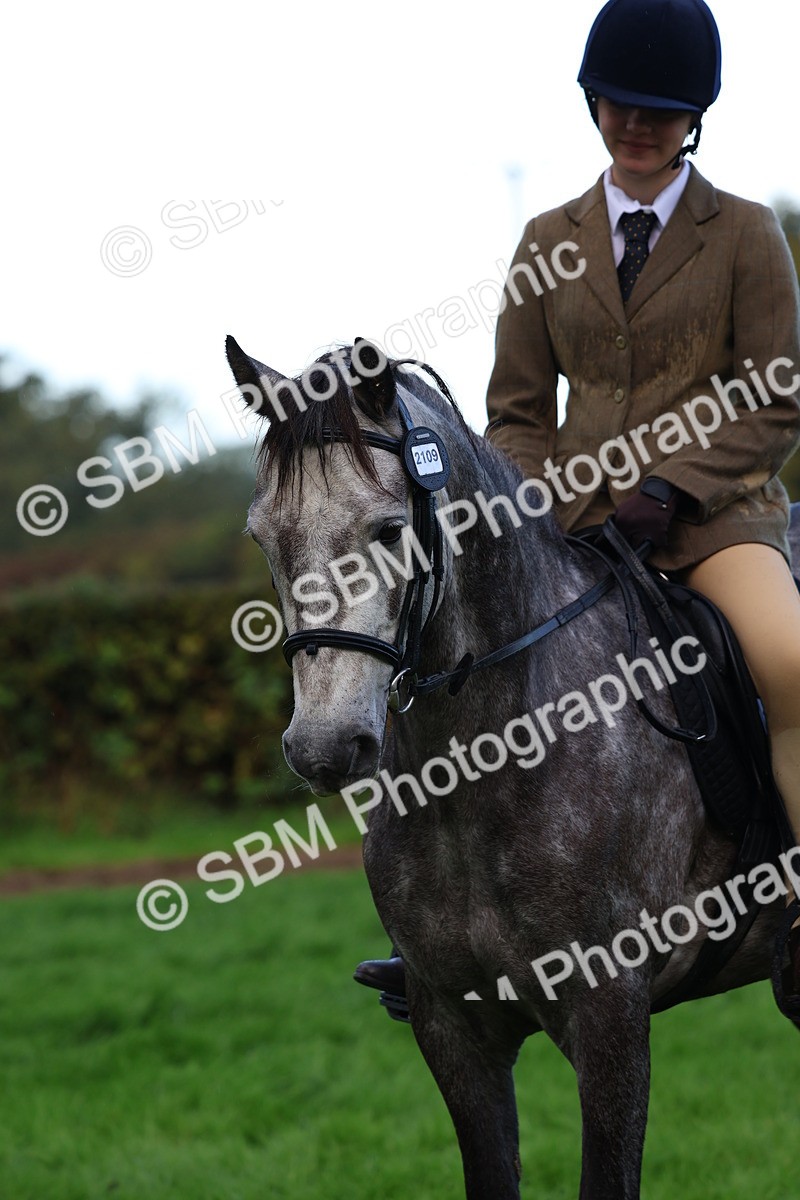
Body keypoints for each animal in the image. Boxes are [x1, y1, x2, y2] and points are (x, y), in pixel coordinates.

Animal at [226, 335, 796, 1200]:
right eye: (264, 539)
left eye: (389, 530)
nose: (323, 747)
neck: (479, 770)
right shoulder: (453, 1027)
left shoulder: (610, 1022)